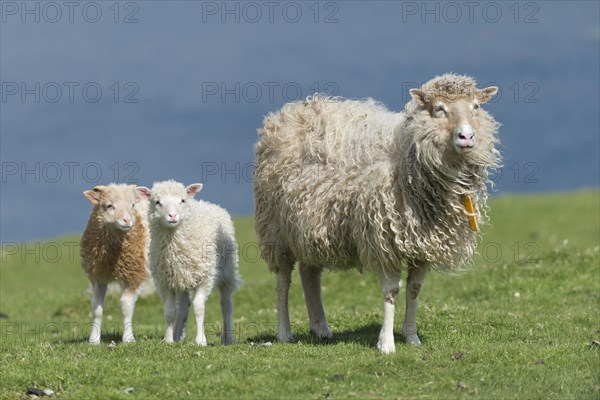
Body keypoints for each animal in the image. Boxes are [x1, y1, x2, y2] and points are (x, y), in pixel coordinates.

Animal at [79, 184, 149, 344]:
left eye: (132, 205)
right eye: (109, 205)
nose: (127, 221)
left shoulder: (135, 273)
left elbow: (126, 305)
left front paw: (128, 338)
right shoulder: (98, 275)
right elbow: (96, 307)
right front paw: (94, 339)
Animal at [138, 180, 241, 346]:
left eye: (182, 200)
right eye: (157, 202)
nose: (172, 216)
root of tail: (207, 203)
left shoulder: (205, 277)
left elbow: (199, 308)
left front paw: (200, 340)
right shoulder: (165, 281)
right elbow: (169, 311)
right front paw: (168, 340)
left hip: (227, 273)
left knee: (226, 305)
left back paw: (228, 338)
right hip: (182, 279)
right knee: (183, 307)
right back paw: (177, 335)